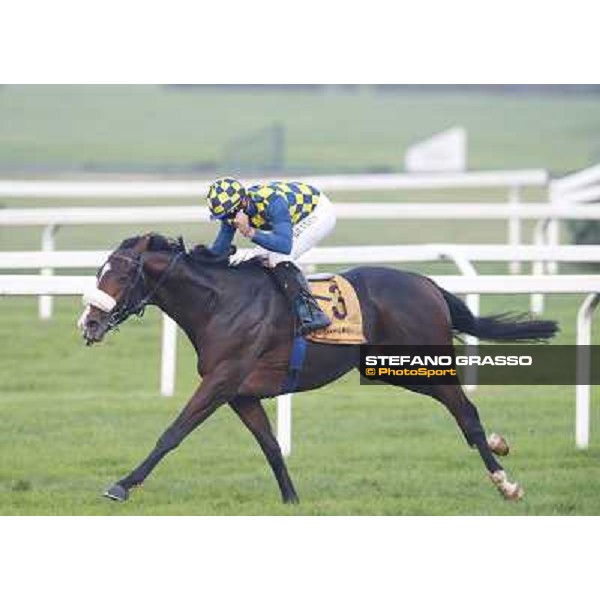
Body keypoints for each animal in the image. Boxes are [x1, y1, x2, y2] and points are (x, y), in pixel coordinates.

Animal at [78, 232, 556, 504]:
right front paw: (291, 498)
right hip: (393, 368)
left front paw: (122, 484)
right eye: (100, 272)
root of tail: (427, 284)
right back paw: (499, 446)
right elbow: (270, 445)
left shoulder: (222, 380)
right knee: (459, 410)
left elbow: (173, 431)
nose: (89, 323)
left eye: (121, 276)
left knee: (466, 412)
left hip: (424, 361)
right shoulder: (241, 393)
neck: (219, 303)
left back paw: (505, 482)